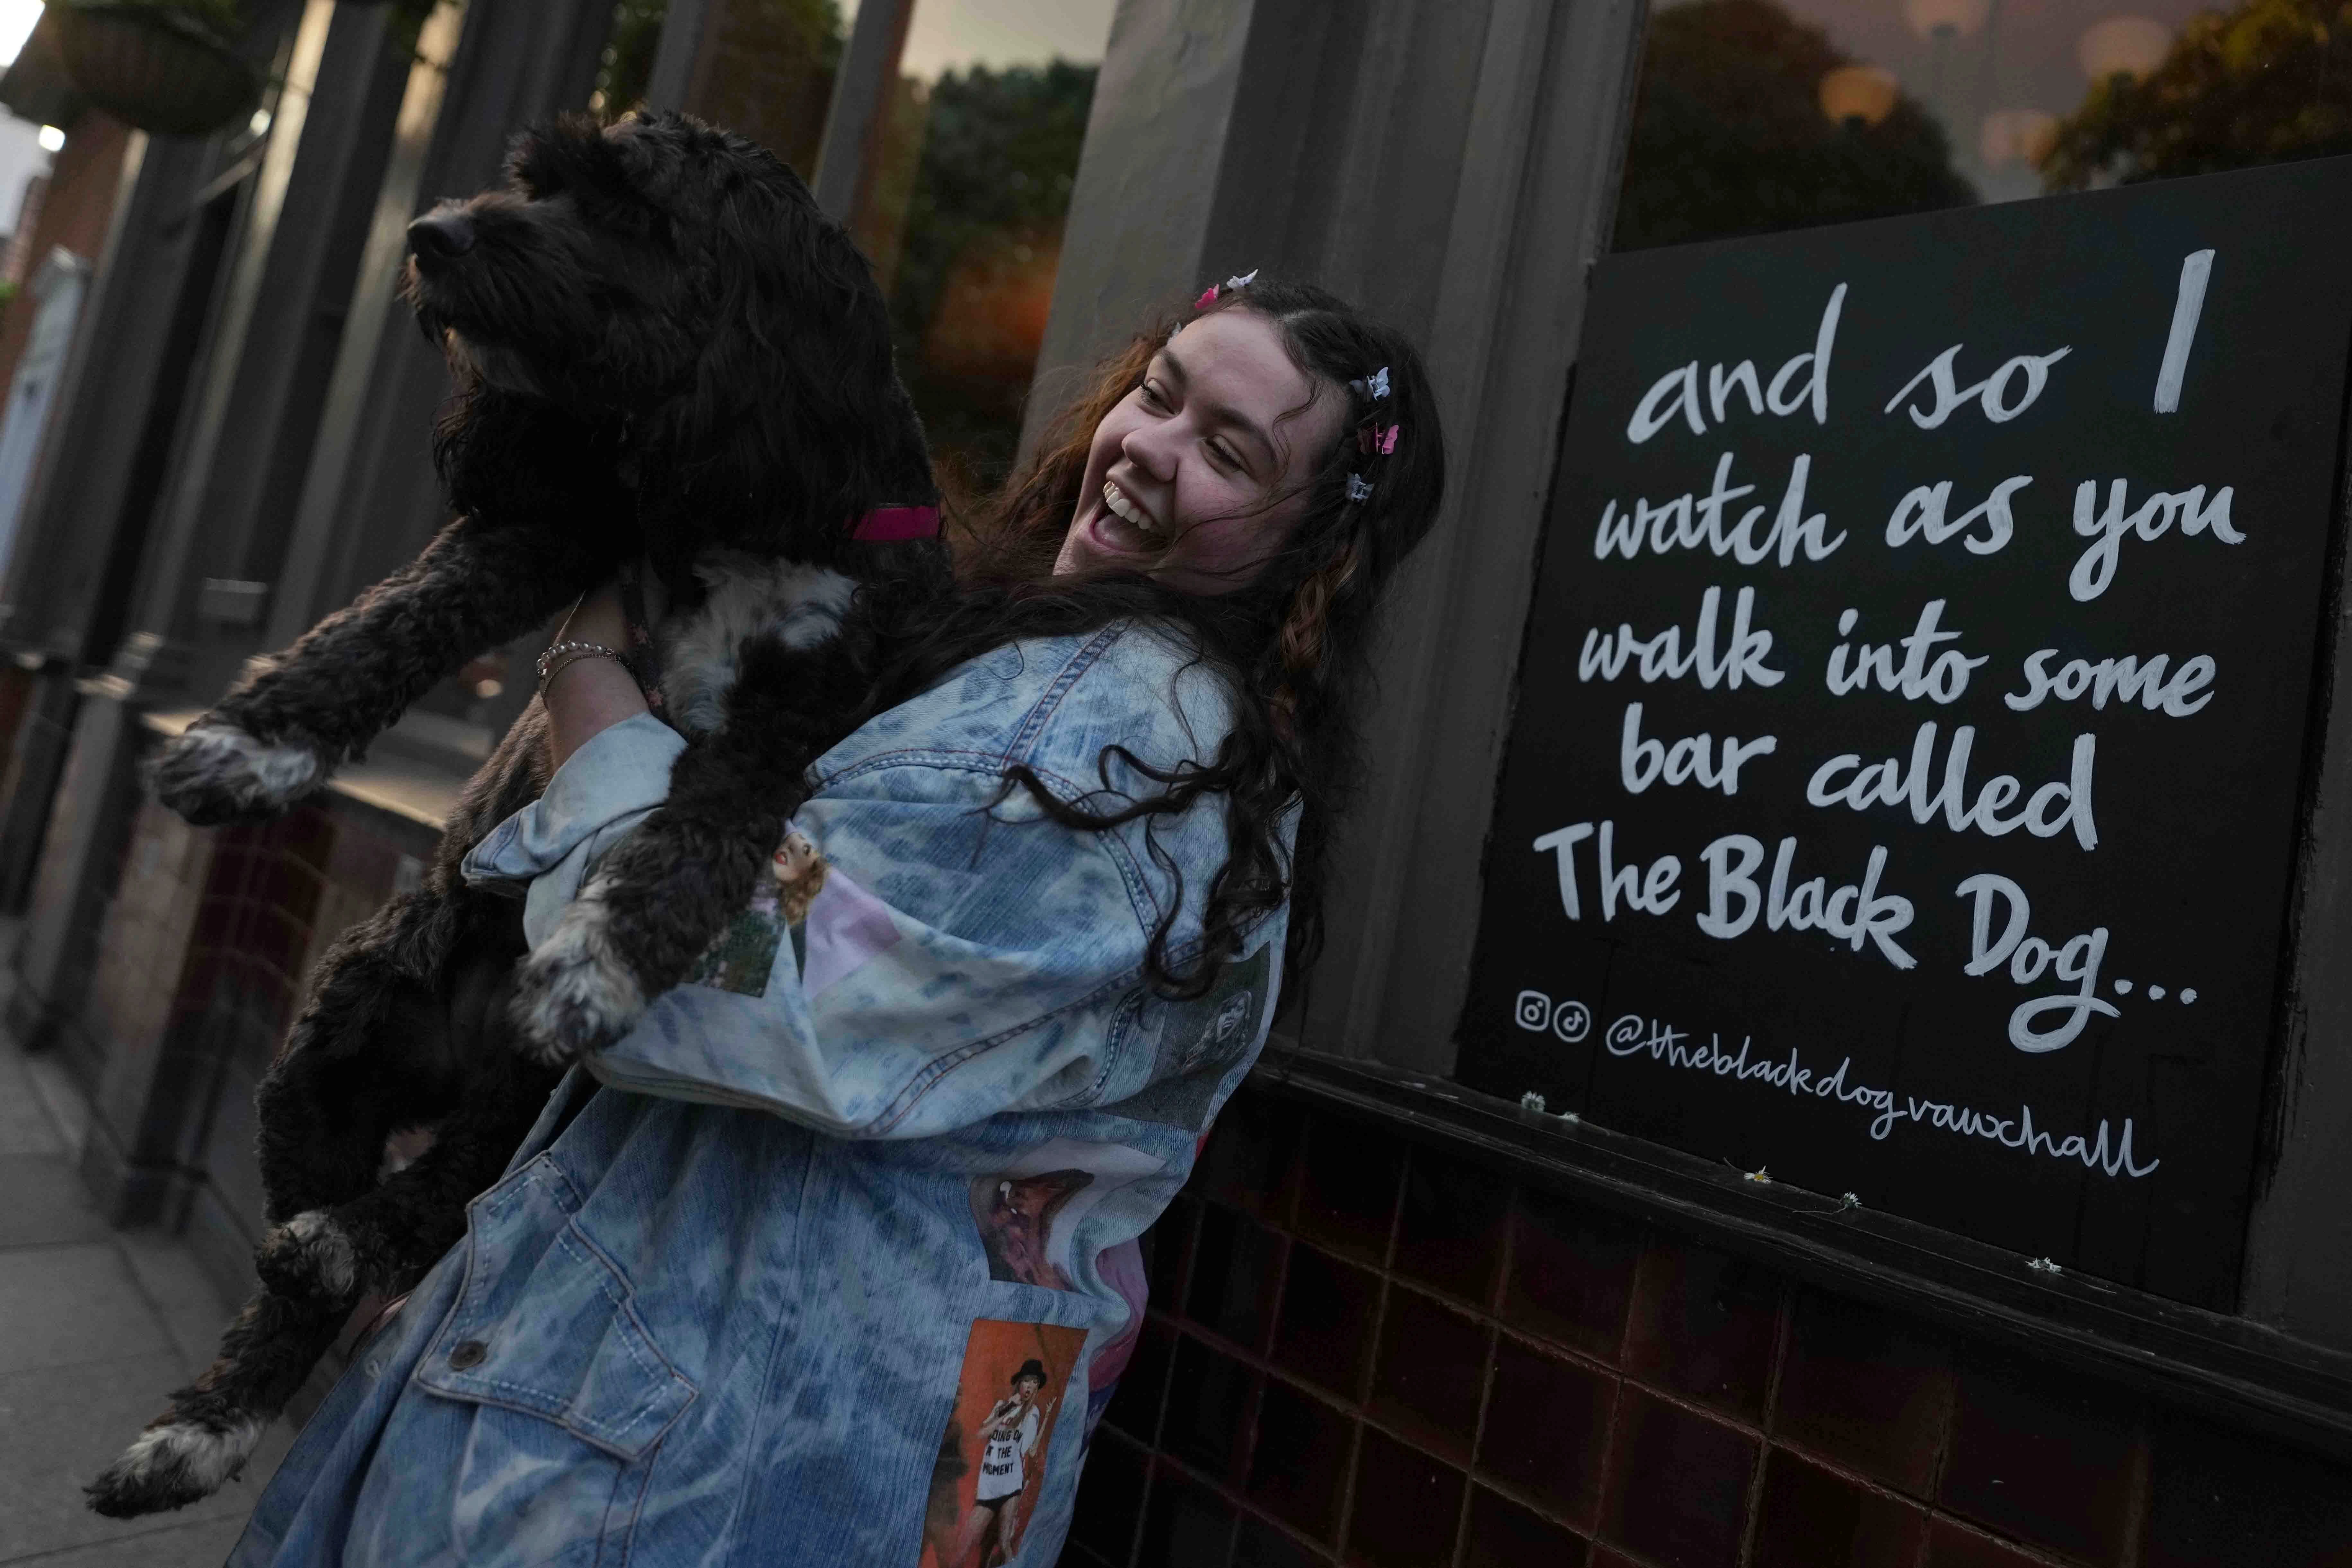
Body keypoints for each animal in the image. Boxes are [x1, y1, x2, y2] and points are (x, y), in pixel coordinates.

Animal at [83, 113, 945, 1523]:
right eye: (538, 181)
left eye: (636, 212)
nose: (433, 233)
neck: (723, 487)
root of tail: (459, 1047)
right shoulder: (552, 524)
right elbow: (398, 615)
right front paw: (250, 743)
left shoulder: (793, 717)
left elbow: (694, 835)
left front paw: (599, 959)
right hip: (327, 1044)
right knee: (312, 1257)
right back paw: (204, 1423)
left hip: (517, 1092)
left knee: (438, 1197)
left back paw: (345, 1245)